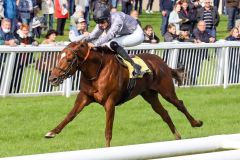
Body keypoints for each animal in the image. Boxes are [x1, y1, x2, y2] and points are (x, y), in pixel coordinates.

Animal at [45, 40, 202, 147]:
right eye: (58, 57)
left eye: (69, 59)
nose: (52, 78)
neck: (97, 71)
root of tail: (162, 62)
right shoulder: (84, 97)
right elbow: (70, 116)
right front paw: (52, 132)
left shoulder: (110, 102)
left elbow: (108, 131)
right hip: (149, 95)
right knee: (164, 113)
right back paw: (177, 137)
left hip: (166, 91)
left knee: (179, 104)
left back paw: (196, 123)